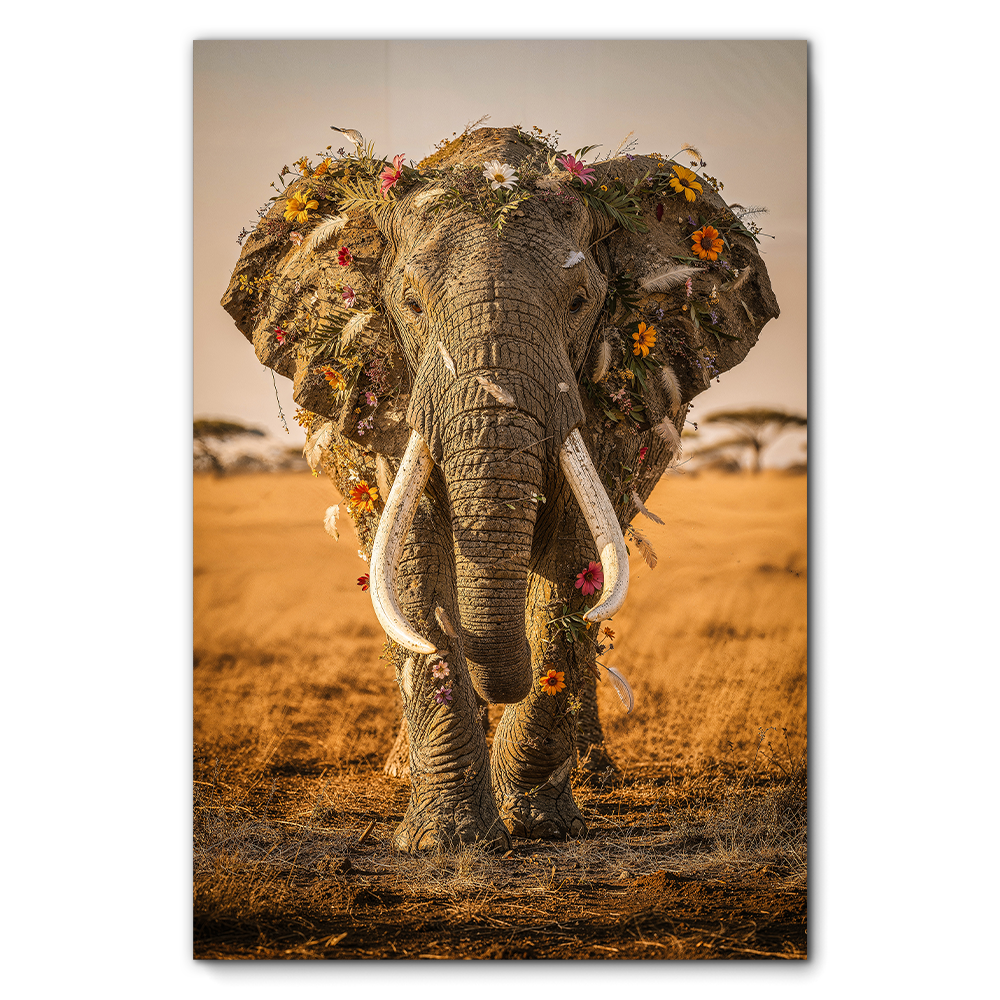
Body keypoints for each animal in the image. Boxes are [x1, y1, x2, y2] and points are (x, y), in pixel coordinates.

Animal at [221, 125, 779, 851]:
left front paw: (539, 824)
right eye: (411, 305)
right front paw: (450, 842)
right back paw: (403, 769)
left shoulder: (611, 392)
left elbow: (572, 567)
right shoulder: (389, 390)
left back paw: (594, 773)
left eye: (579, 303)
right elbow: (415, 565)